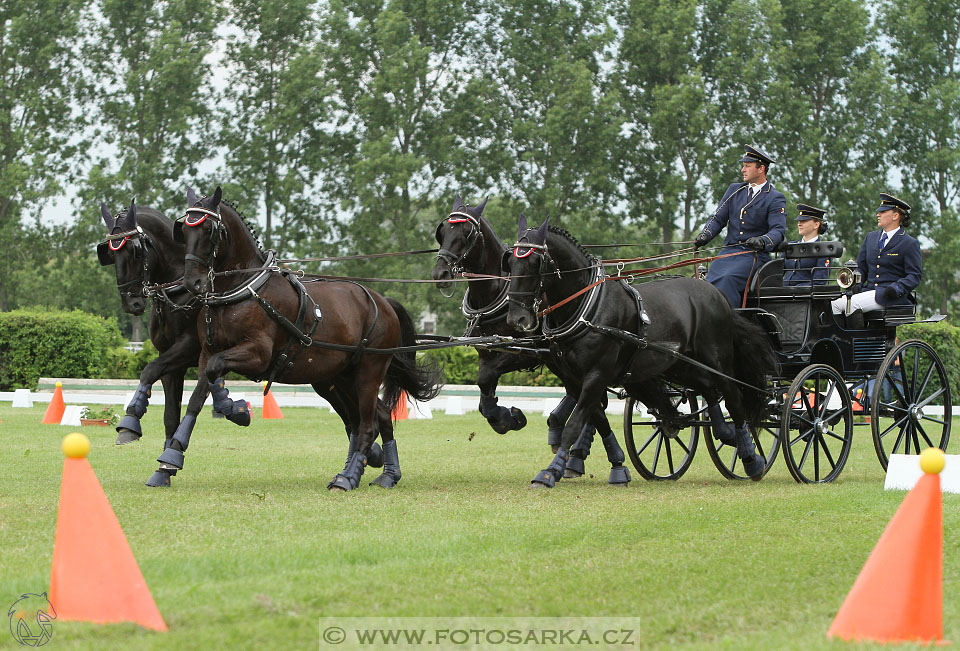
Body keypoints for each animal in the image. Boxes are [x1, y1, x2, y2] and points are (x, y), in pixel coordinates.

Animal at [174, 186, 440, 492]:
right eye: (184, 230)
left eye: (208, 230)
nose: (192, 283)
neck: (243, 290)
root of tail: (383, 301)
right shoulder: (207, 351)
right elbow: (198, 395)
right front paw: (168, 461)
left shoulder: (257, 354)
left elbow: (216, 368)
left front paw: (234, 409)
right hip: (338, 378)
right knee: (376, 416)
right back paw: (385, 473)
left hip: (369, 372)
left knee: (367, 424)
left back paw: (348, 477)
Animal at [430, 196, 628, 482]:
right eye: (443, 231)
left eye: (467, 233)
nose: (440, 273)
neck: (496, 293)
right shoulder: (486, 353)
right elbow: (483, 388)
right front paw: (503, 416)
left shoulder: (526, 353)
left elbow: (486, 379)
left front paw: (508, 419)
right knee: (593, 401)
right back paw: (574, 452)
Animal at [506, 216, 776, 486]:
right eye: (510, 262)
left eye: (535, 262)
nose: (517, 319)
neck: (588, 306)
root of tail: (717, 293)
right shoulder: (574, 379)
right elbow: (597, 419)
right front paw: (616, 466)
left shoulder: (597, 375)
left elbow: (575, 423)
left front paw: (550, 472)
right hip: (679, 365)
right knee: (708, 388)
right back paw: (725, 433)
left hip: (718, 360)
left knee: (733, 398)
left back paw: (751, 458)